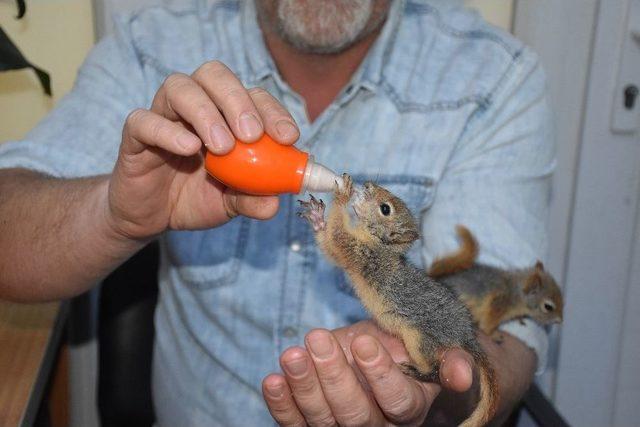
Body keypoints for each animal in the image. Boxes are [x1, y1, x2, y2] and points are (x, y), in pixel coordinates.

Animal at [300, 176, 500, 427]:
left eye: (385, 209)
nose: (367, 184)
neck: (378, 243)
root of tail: (465, 335)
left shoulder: (362, 255)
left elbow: (336, 236)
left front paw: (343, 194)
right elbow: (329, 245)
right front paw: (317, 216)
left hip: (420, 340)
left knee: (435, 370)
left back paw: (419, 373)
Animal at [428, 224, 564, 342]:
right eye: (548, 307)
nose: (560, 320)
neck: (515, 293)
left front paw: (520, 319)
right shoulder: (497, 306)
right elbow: (487, 326)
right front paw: (494, 335)